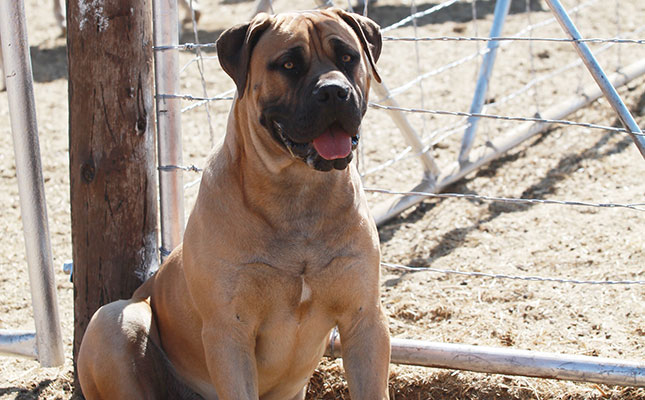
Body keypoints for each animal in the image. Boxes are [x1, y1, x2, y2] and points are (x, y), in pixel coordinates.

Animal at [76, 7, 388, 400]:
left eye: (347, 57)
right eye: (288, 64)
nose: (334, 91)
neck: (298, 193)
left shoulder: (365, 320)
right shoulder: (229, 332)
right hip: (115, 320)